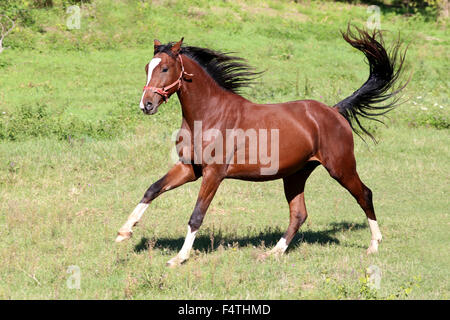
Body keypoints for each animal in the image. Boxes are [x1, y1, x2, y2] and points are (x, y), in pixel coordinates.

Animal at [116, 25, 408, 268]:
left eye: (165, 68)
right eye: (147, 67)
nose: (146, 105)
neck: (209, 114)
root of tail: (334, 111)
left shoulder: (213, 173)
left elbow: (197, 215)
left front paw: (179, 258)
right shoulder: (190, 169)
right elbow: (152, 189)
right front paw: (123, 232)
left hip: (341, 167)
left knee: (365, 194)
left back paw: (374, 245)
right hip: (295, 174)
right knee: (299, 214)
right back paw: (273, 253)